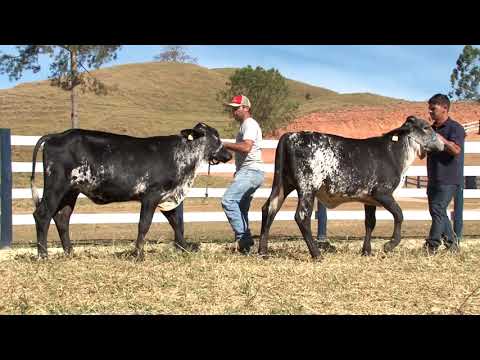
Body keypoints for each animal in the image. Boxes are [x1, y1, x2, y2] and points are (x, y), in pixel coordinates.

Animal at [30, 122, 232, 260]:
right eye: (214, 136)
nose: (228, 155)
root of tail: (56, 136)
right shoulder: (151, 196)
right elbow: (144, 224)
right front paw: (138, 254)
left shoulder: (168, 197)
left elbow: (177, 224)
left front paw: (185, 249)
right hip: (56, 185)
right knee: (43, 214)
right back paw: (43, 255)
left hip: (71, 191)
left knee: (62, 217)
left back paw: (70, 253)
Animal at [260, 116, 444, 258]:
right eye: (426, 127)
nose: (442, 145)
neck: (394, 154)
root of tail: (289, 136)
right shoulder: (383, 193)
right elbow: (399, 214)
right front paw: (389, 245)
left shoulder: (368, 199)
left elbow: (370, 223)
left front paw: (366, 251)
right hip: (307, 187)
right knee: (301, 216)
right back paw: (316, 254)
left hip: (283, 184)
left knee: (269, 208)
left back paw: (263, 251)